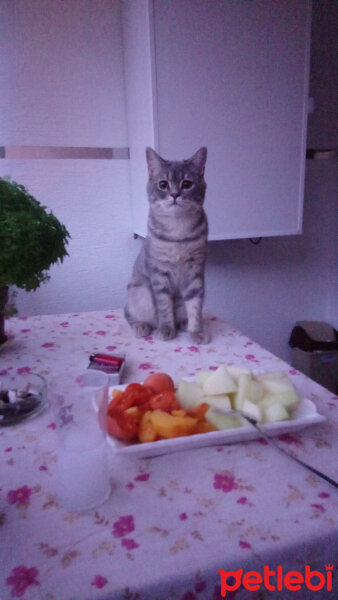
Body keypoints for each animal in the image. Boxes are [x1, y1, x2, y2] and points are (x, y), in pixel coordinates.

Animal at [124, 145, 210, 344]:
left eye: (187, 184)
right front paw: (166, 329)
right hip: (139, 291)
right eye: (163, 184)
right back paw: (142, 326)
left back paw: (183, 323)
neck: (178, 230)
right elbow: (164, 307)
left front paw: (196, 331)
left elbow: (195, 305)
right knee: (129, 314)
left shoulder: (195, 271)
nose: (175, 194)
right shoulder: (159, 274)